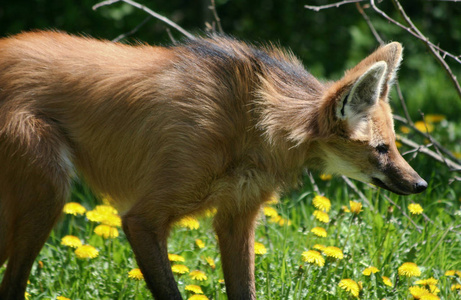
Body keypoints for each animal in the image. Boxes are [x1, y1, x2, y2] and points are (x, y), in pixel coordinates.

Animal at [0, 31, 426, 300]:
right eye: (381, 149)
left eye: (394, 146)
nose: (420, 184)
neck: (254, 121)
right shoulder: (142, 218)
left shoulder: (237, 217)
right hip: (47, 194)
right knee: (13, 285)